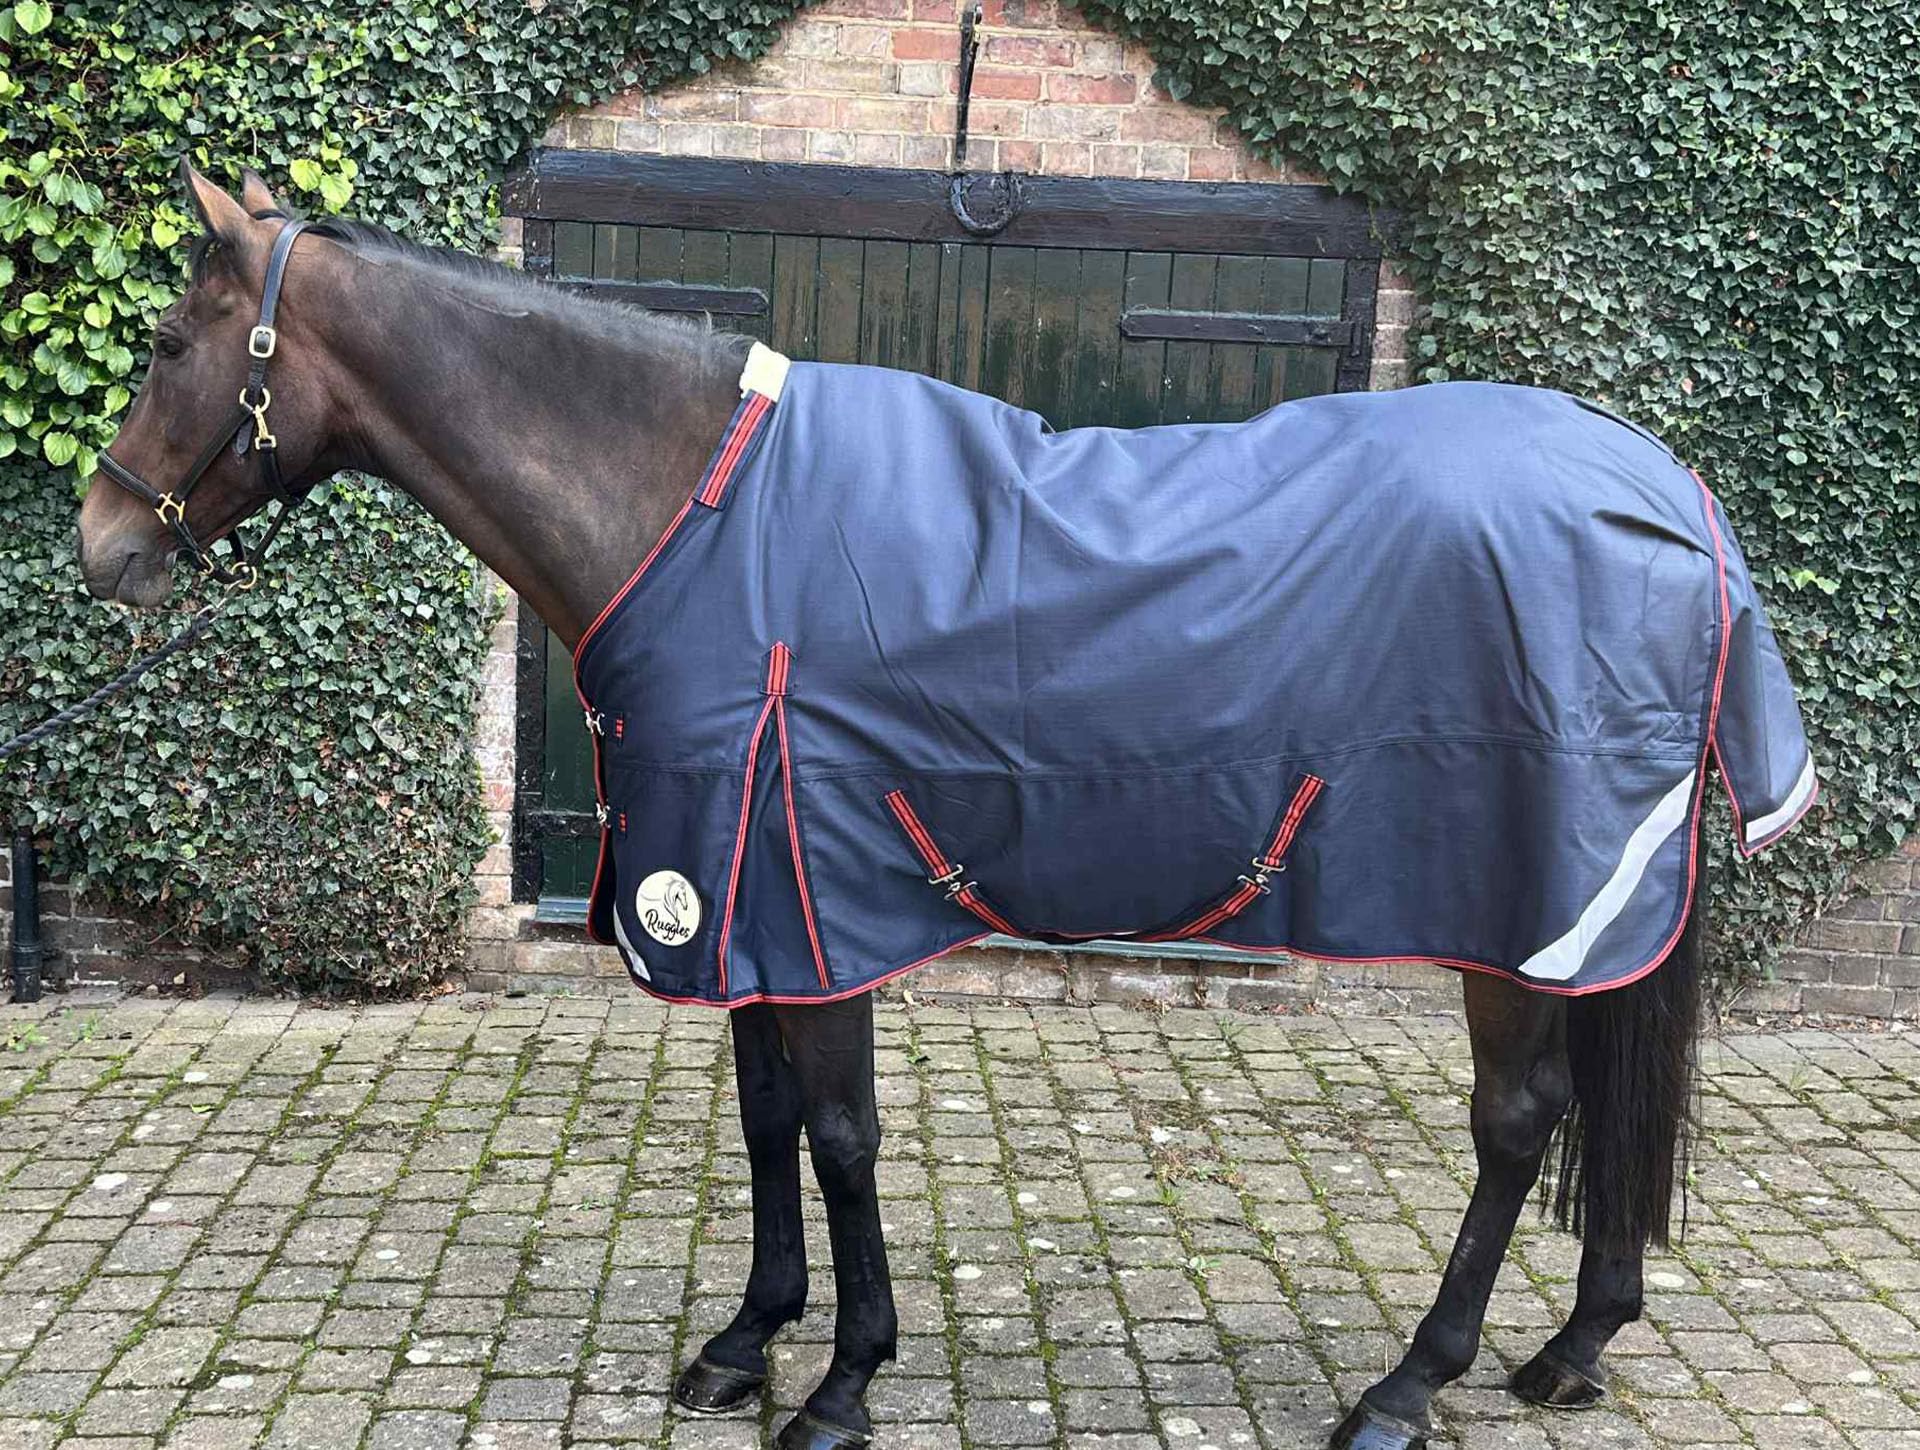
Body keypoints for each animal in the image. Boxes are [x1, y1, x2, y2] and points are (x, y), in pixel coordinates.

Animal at [75, 162, 1812, 1450]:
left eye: (165, 342)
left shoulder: (806, 890)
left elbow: (842, 1132)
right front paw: (744, 1341)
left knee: (1520, 1117)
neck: (690, 511)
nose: (101, 542)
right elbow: (770, 1119)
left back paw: (1408, 1384)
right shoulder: (740, 901)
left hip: (1516, 909)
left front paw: (842, 1383)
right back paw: (1572, 1346)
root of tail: (1664, 495)